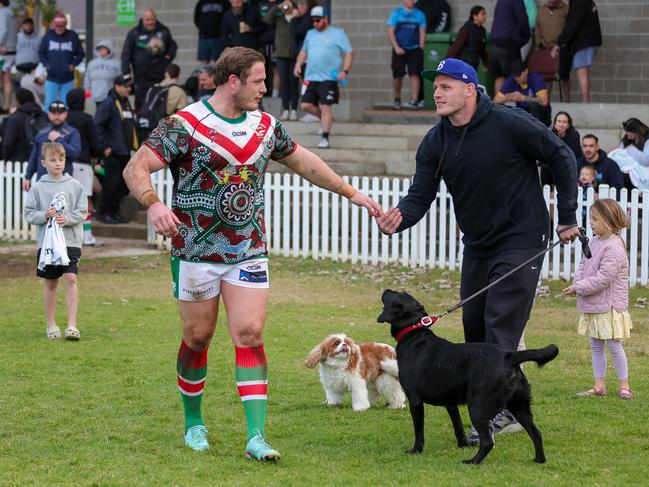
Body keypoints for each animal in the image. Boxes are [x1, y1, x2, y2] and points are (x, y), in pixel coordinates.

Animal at [378, 290, 560, 466]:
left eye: (395, 293)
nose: (386, 289)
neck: (414, 333)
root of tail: (509, 356)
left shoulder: (415, 400)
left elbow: (419, 429)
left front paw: (416, 449)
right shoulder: (450, 402)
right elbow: (458, 425)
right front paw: (463, 445)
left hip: (478, 408)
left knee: (488, 442)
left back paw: (472, 461)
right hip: (519, 406)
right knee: (536, 433)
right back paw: (539, 460)